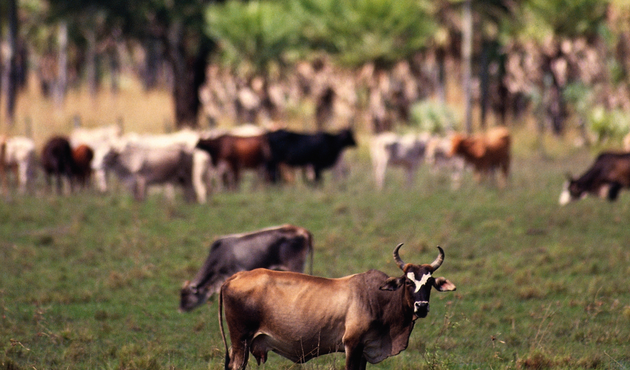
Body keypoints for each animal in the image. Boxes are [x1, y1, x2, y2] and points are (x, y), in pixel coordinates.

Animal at [220, 244, 456, 368]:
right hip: (241, 342)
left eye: (429, 283)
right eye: (408, 282)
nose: (421, 307)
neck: (377, 299)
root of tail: (234, 277)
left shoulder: (364, 350)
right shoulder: (352, 346)